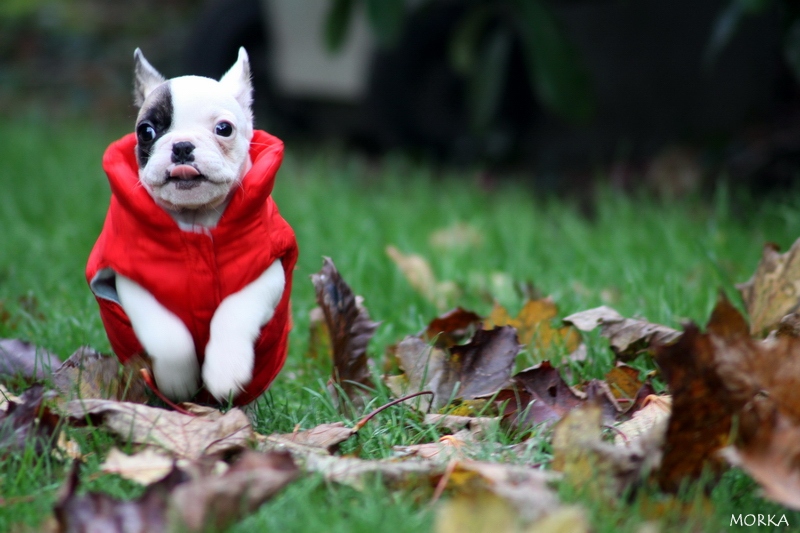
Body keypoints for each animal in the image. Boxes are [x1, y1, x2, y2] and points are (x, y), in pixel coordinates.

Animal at [87, 48, 298, 404]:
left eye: (224, 129)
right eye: (146, 131)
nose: (182, 145)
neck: (195, 219)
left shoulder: (265, 272)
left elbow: (234, 309)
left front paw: (226, 370)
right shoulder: (130, 279)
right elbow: (167, 334)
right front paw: (177, 380)